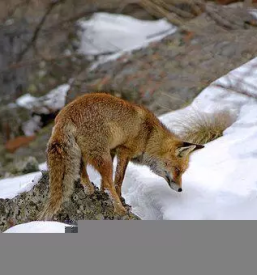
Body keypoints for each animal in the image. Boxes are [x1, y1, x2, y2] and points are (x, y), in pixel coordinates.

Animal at [38, 94, 203, 221]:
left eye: (182, 172)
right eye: (178, 170)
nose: (180, 189)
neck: (149, 136)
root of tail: (64, 115)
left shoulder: (112, 151)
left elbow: (105, 182)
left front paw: (102, 192)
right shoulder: (123, 151)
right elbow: (118, 180)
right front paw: (119, 199)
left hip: (88, 153)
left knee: (83, 169)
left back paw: (89, 189)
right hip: (102, 157)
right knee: (108, 180)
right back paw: (120, 209)